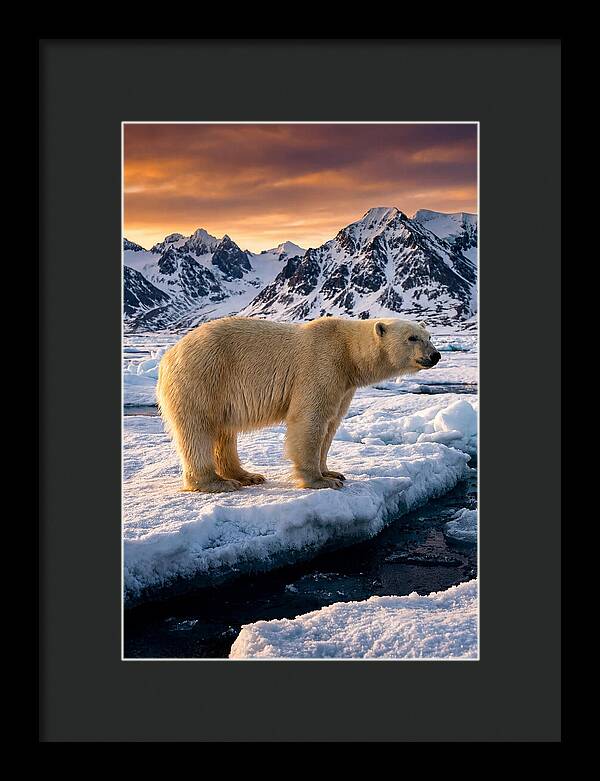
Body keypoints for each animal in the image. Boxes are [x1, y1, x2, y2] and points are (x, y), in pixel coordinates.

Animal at [156, 316, 440, 492]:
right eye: (412, 338)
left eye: (428, 336)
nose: (435, 355)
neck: (348, 352)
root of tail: (168, 355)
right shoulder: (322, 364)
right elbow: (310, 420)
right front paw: (320, 481)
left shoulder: (344, 385)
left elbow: (331, 424)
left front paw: (332, 472)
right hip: (203, 377)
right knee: (198, 429)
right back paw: (216, 483)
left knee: (224, 432)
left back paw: (246, 475)